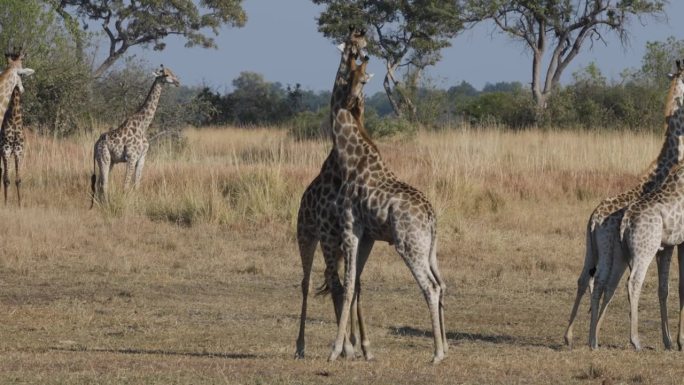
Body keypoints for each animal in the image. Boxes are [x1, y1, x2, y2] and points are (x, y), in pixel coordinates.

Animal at [91, 65, 182, 207]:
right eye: (166, 75)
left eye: (172, 72)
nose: (177, 82)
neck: (143, 125)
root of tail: (96, 145)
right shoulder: (131, 157)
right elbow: (126, 185)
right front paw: (125, 205)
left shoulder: (142, 157)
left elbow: (137, 184)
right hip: (104, 158)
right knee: (104, 184)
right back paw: (106, 205)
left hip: (110, 161)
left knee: (100, 183)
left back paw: (100, 204)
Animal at [328, 54, 446, 364]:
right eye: (349, 75)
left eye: (362, 79)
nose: (350, 100)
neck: (350, 159)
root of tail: (432, 218)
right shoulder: (368, 236)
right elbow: (356, 284)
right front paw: (354, 348)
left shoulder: (350, 227)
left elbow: (347, 286)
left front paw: (335, 350)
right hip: (428, 248)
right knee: (441, 284)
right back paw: (444, 349)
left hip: (408, 245)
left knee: (430, 287)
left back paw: (437, 353)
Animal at [564, 59, 684, 348]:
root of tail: (594, 218)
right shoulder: (668, 245)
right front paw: (672, 341)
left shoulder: (664, 246)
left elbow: (663, 289)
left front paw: (667, 340)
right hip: (613, 252)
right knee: (607, 283)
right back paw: (605, 338)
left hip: (593, 249)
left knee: (587, 280)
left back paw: (573, 336)